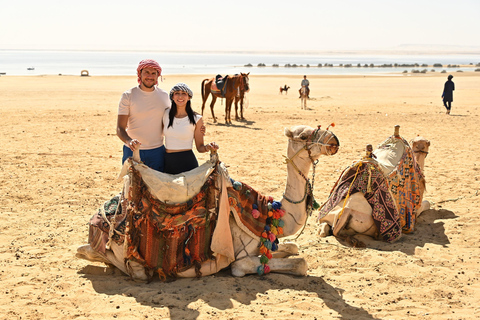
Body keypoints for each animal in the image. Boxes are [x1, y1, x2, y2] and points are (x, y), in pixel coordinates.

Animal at [77, 125, 340, 280]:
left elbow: (293, 248)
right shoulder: (239, 260)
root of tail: (96, 221)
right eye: (304, 136)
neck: (266, 214)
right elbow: (299, 262)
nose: (334, 140)